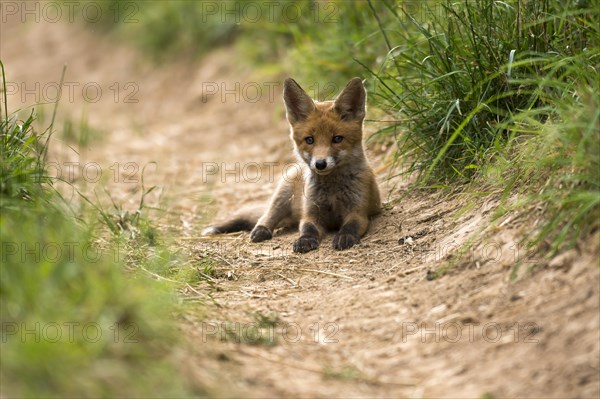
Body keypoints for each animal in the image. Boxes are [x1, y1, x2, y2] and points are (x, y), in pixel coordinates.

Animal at [202, 77, 380, 253]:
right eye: (309, 140)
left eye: (337, 139)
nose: (320, 164)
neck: (332, 190)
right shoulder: (310, 213)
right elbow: (308, 229)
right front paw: (305, 240)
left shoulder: (358, 212)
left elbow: (350, 226)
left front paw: (344, 237)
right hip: (283, 194)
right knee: (266, 216)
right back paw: (261, 230)